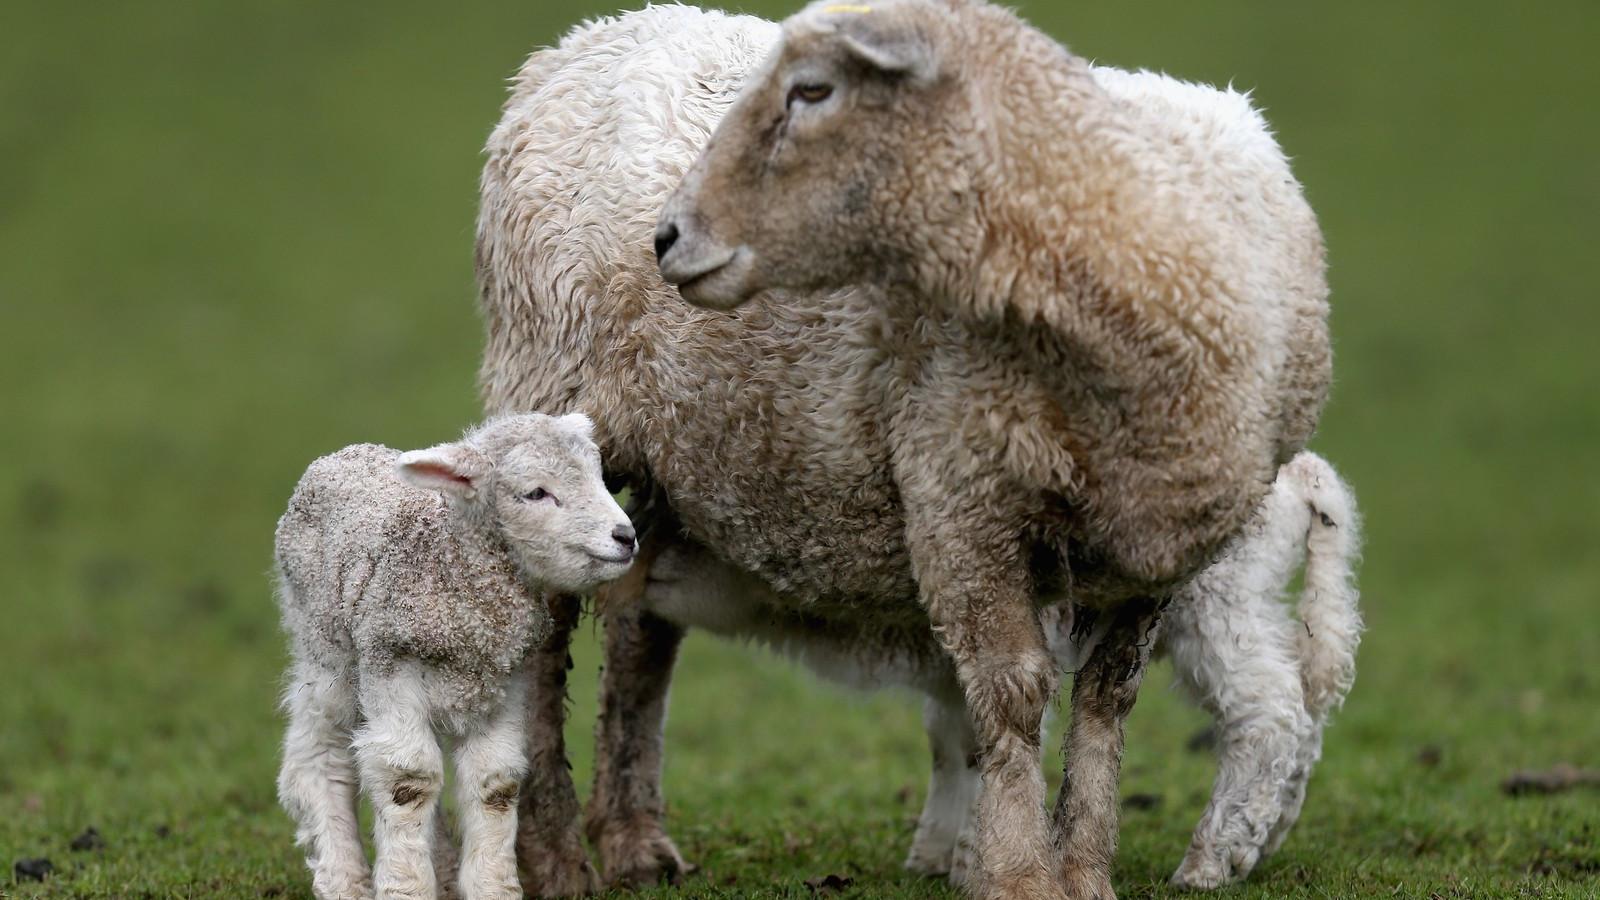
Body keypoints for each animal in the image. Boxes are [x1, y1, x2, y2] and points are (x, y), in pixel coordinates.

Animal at [272, 413, 633, 896]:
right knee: (319, 754)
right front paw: (405, 887)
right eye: (536, 492)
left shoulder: (504, 683)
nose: (626, 537)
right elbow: (409, 780)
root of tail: (341, 453)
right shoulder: (391, 670)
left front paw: (492, 887)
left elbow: (495, 783)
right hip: (324, 647)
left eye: (600, 478)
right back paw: (343, 878)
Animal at [473, 3, 1337, 890]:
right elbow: (1012, 695)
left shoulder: (1153, 557)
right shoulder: (961, 501)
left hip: (674, 469)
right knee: (546, 651)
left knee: (639, 633)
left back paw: (635, 843)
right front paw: (1019, 874)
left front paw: (1082, 873)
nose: (669, 236)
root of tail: (591, 37)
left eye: (812, 91)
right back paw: (555, 858)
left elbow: (1104, 705)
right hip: (551, 405)